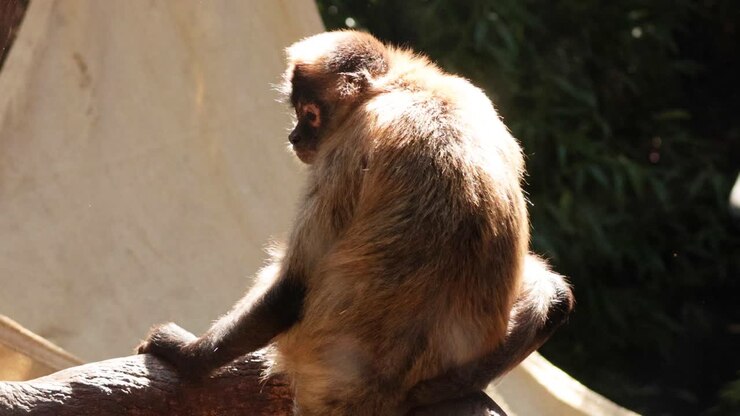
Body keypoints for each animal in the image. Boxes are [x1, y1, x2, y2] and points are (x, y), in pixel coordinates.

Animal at [137, 30, 574, 415]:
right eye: (298, 115)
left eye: (309, 114)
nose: (294, 137)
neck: (402, 86)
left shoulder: (350, 140)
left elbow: (293, 287)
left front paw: (188, 357)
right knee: (555, 295)